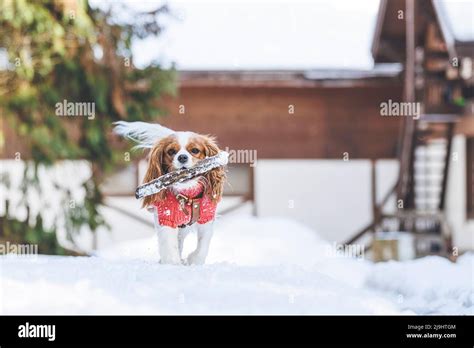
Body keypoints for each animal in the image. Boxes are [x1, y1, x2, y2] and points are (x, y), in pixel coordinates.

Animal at [115, 121, 226, 266]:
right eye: (171, 151)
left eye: (195, 150)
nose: (182, 157)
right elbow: (169, 246)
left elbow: (203, 245)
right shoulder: (166, 218)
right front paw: (173, 264)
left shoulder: (206, 216)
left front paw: (193, 261)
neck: (187, 195)